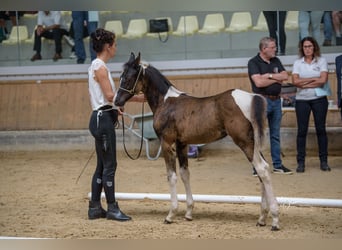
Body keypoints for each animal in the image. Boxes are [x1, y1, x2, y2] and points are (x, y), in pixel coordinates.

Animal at [115, 52, 280, 230]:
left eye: (128, 77)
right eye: (121, 76)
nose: (116, 101)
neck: (165, 101)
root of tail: (251, 97)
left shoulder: (167, 143)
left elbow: (171, 176)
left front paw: (171, 214)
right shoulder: (182, 144)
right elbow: (185, 174)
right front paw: (188, 213)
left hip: (245, 142)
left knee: (262, 169)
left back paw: (275, 220)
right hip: (253, 143)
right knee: (262, 170)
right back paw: (262, 218)